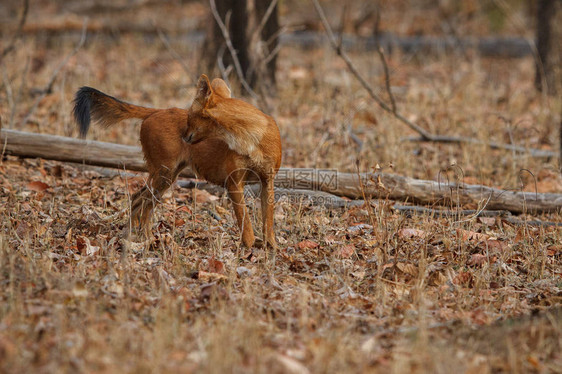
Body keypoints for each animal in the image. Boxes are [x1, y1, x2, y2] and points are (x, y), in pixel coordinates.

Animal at [72, 75, 282, 248]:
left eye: (190, 116)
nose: (184, 135)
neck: (250, 138)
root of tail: (157, 111)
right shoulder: (233, 182)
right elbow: (244, 220)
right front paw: (249, 248)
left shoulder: (267, 180)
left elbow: (268, 218)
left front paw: (271, 248)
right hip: (164, 173)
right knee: (142, 200)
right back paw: (144, 239)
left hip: (168, 175)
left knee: (139, 199)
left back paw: (134, 236)